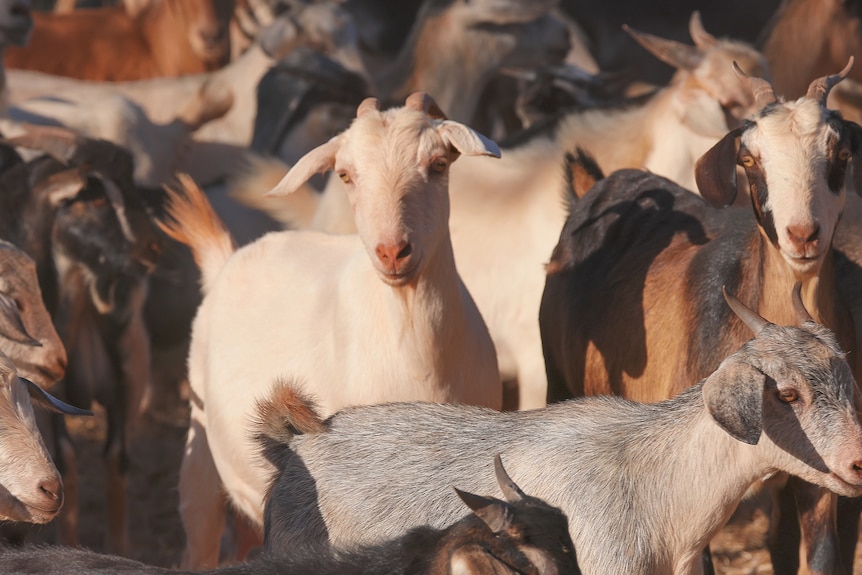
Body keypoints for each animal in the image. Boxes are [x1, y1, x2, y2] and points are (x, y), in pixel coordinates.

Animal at [157, 92, 503, 568]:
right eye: (345, 175)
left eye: (438, 163)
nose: (393, 251)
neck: (421, 363)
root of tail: (225, 257)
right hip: (200, 448)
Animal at [539, 62, 862, 574]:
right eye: (749, 159)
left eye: (842, 152)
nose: (802, 234)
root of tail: (597, 186)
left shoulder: (825, 465)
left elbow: (822, 555)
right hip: (557, 380)